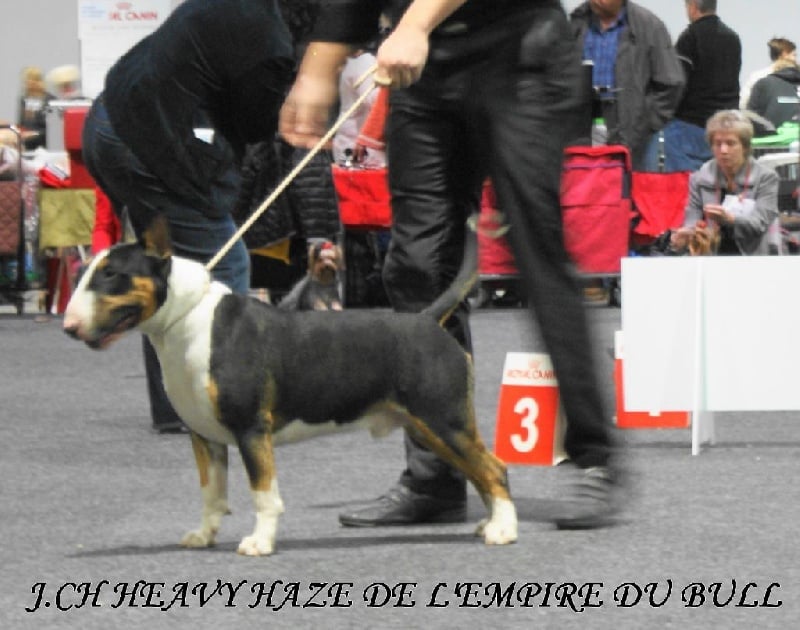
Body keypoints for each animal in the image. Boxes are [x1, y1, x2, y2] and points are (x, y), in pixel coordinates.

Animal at [63, 216, 517, 556]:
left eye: (113, 275)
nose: (68, 327)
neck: (188, 320)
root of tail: (427, 320)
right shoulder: (203, 436)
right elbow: (211, 493)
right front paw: (203, 536)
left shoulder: (251, 429)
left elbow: (264, 494)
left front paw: (259, 543)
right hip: (429, 428)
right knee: (480, 472)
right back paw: (489, 523)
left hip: (444, 419)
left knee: (494, 468)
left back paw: (504, 531)